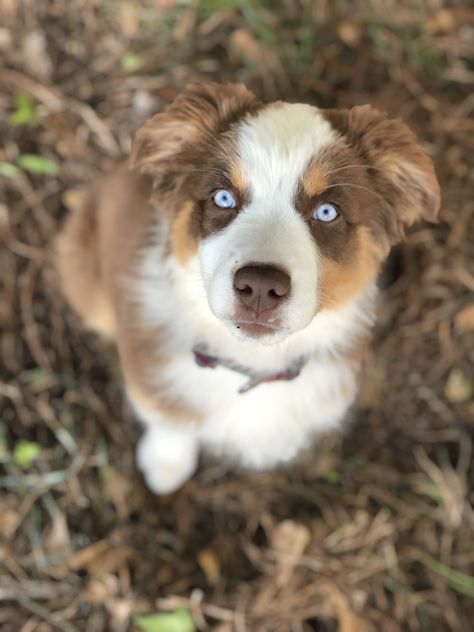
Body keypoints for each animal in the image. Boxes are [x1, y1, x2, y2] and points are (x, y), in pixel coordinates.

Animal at [56, 82, 440, 494]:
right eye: (223, 197)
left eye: (327, 211)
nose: (259, 286)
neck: (252, 367)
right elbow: (167, 420)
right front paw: (166, 463)